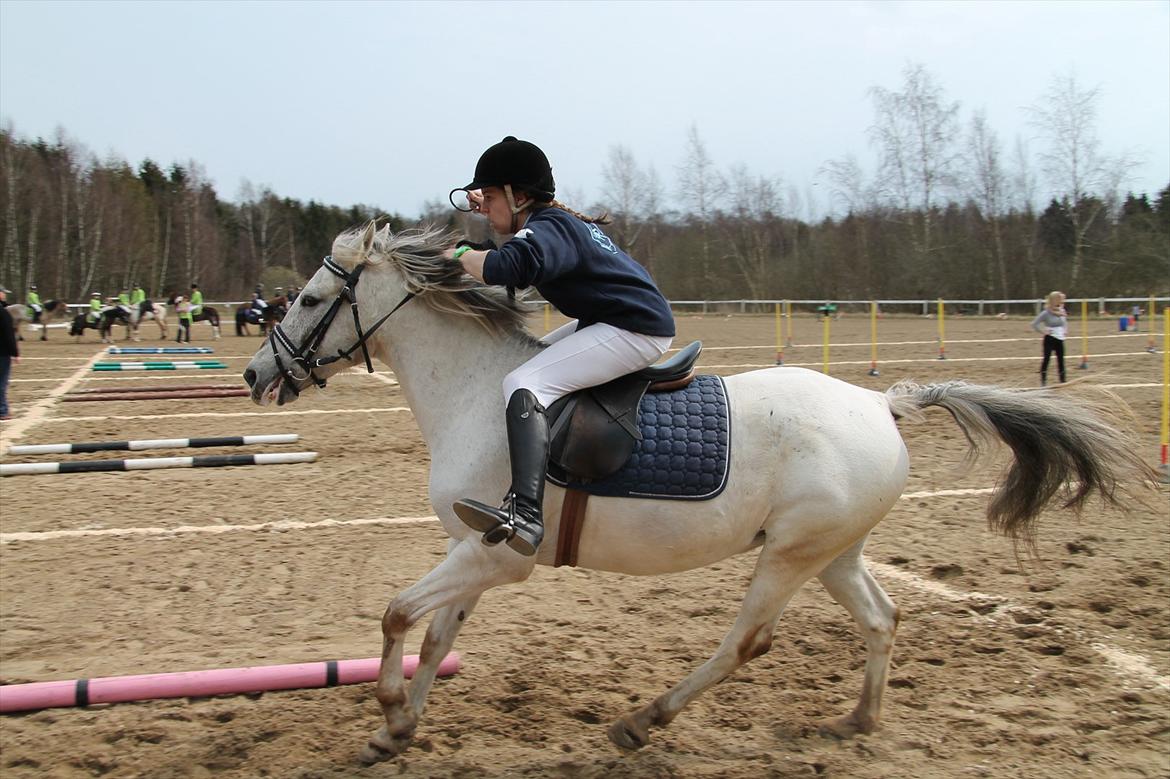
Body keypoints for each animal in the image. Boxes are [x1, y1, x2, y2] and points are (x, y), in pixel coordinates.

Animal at [243, 222, 1155, 765]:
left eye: (314, 298)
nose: (256, 374)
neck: (473, 389)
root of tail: (883, 403)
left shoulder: (497, 557)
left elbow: (397, 614)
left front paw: (391, 709)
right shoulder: (474, 550)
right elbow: (433, 636)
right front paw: (397, 728)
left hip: (789, 556)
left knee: (745, 641)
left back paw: (644, 720)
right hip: (833, 551)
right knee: (882, 618)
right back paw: (857, 721)